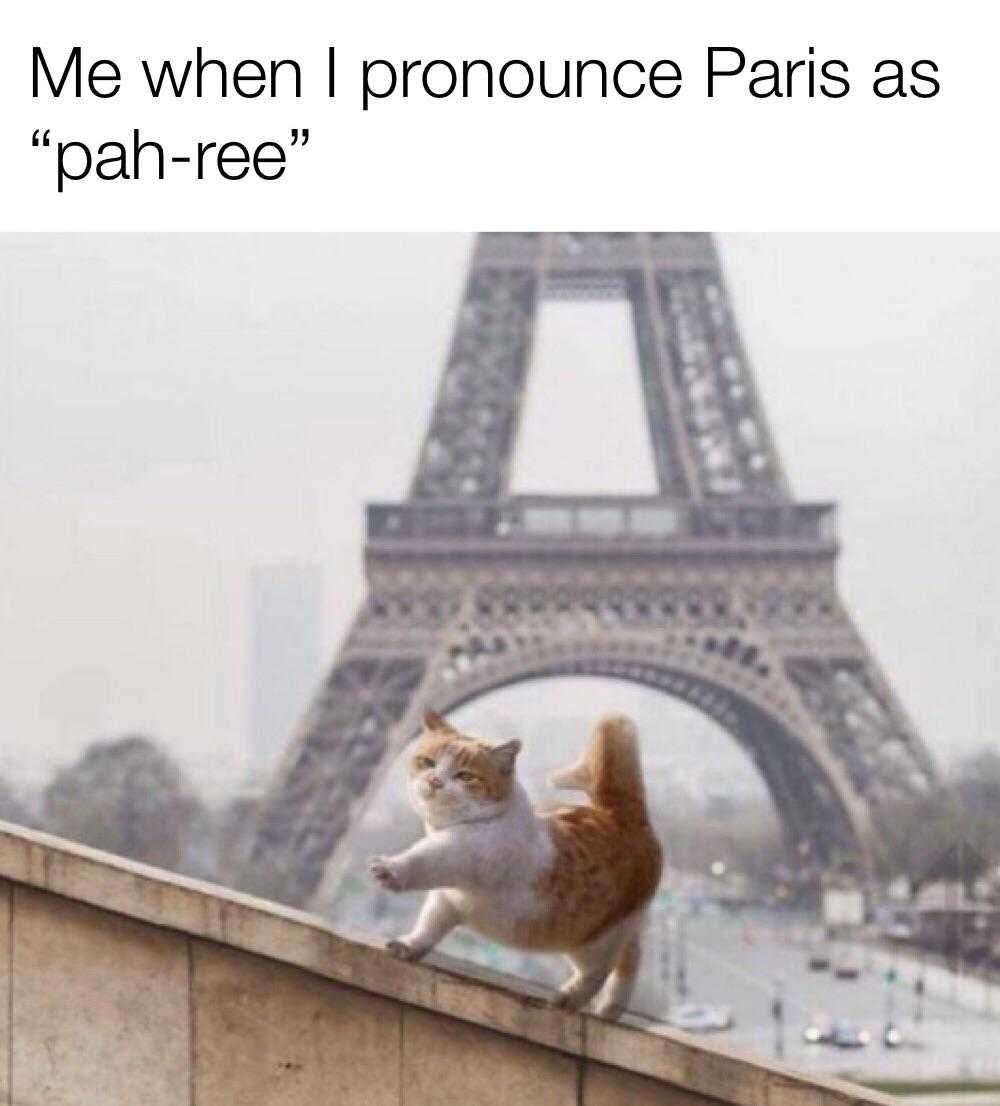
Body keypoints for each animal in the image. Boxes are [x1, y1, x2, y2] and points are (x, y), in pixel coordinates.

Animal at [367, 712, 663, 1013]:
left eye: (465, 776)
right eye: (428, 762)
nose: (435, 780)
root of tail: (619, 815)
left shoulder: (461, 853)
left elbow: (424, 858)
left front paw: (389, 869)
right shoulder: (448, 900)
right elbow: (429, 925)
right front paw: (410, 946)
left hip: (594, 940)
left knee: (598, 972)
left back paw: (569, 999)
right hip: (622, 929)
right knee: (631, 958)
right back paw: (611, 1008)